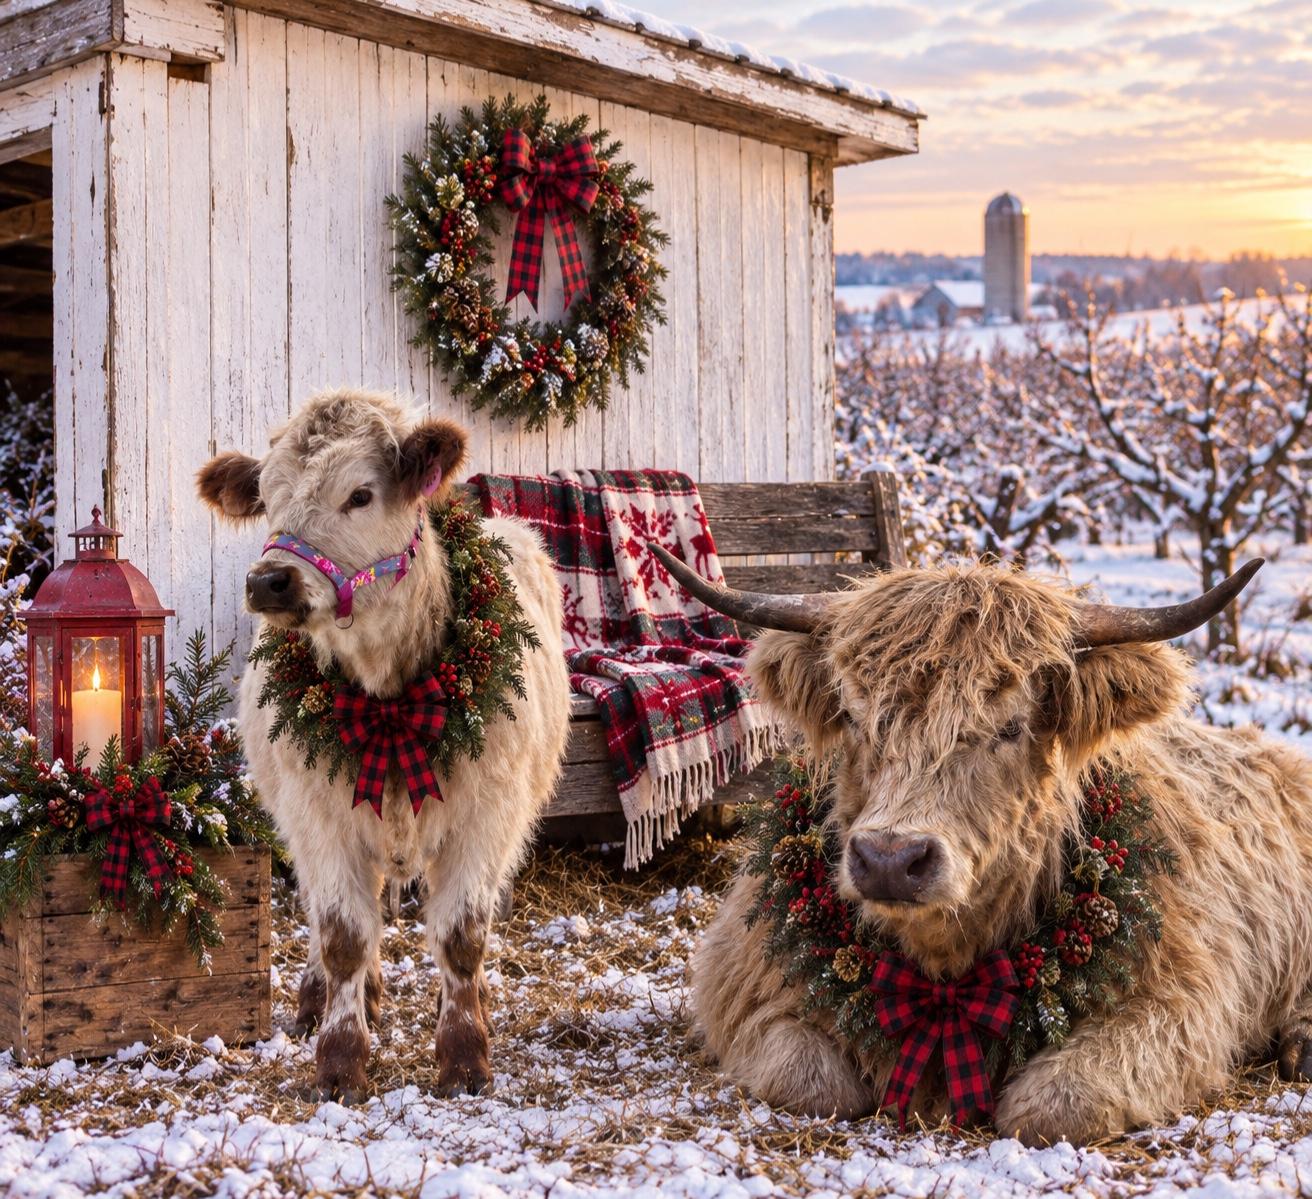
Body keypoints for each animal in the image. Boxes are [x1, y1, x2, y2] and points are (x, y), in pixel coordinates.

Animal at [198, 389, 570, 1100]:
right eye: (268, 496)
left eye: (361, 495)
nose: (268, 582)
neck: (387, 693)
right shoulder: (318, 817)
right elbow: (343, 937)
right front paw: (340, 1061)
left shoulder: (489, 817)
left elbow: (462, 936)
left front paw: (464, 1054)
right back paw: (329, 1000)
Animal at [652, 546, 1312, 1145]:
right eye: (856, 717)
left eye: (1011, 727)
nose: (889, 860)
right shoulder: (740, 979)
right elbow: (815, 1083)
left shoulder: (1180, 999)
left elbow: (1050, 1107)